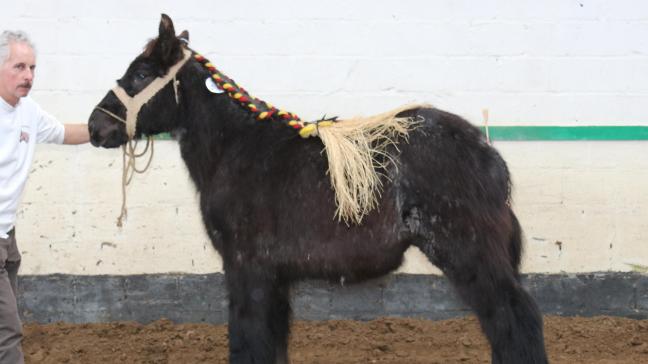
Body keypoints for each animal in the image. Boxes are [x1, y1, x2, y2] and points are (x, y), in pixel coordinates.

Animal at [87, 14, 548, 364]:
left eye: (141, 74)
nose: (95, 126)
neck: (236, 146)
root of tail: (486, 153)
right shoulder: (273, 278)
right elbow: (271, 343)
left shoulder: (247, 267)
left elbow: (248, 340)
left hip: (469, 252)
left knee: (516, 319)